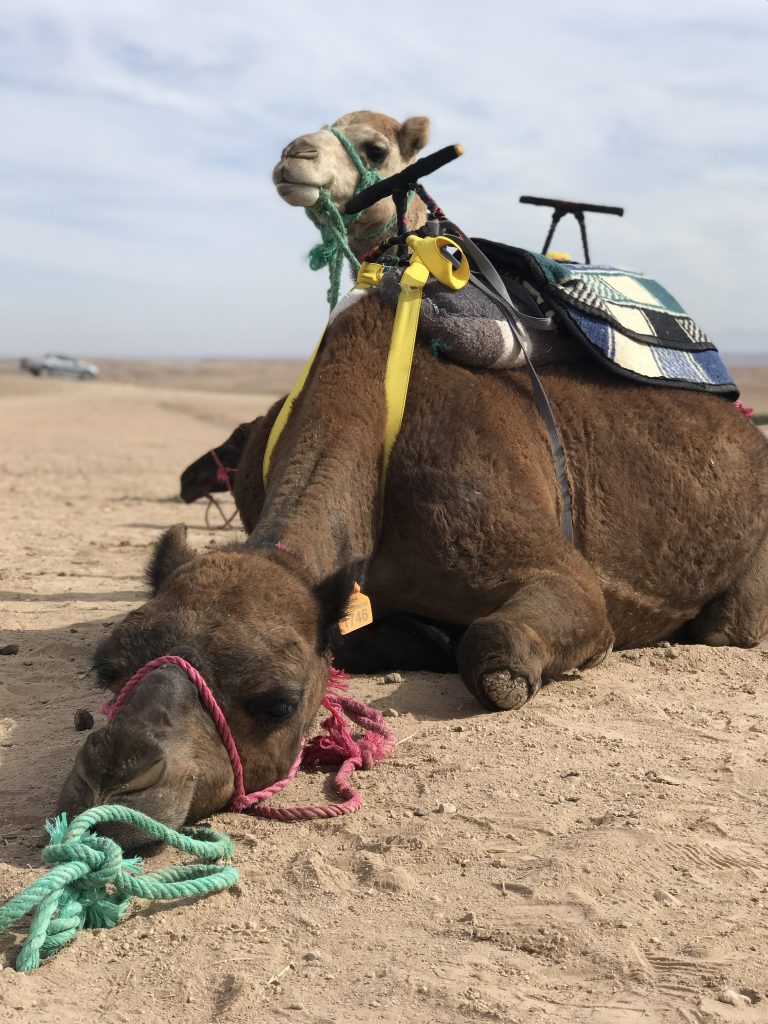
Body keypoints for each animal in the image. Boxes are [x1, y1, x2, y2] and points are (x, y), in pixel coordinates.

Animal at [58, 286, 768, 839]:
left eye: (277, 703)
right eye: (108, 667)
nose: (115, 777)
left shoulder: (524, 545)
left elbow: (501, 640)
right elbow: (359, 639)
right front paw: (423, 639)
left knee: (724, 627)